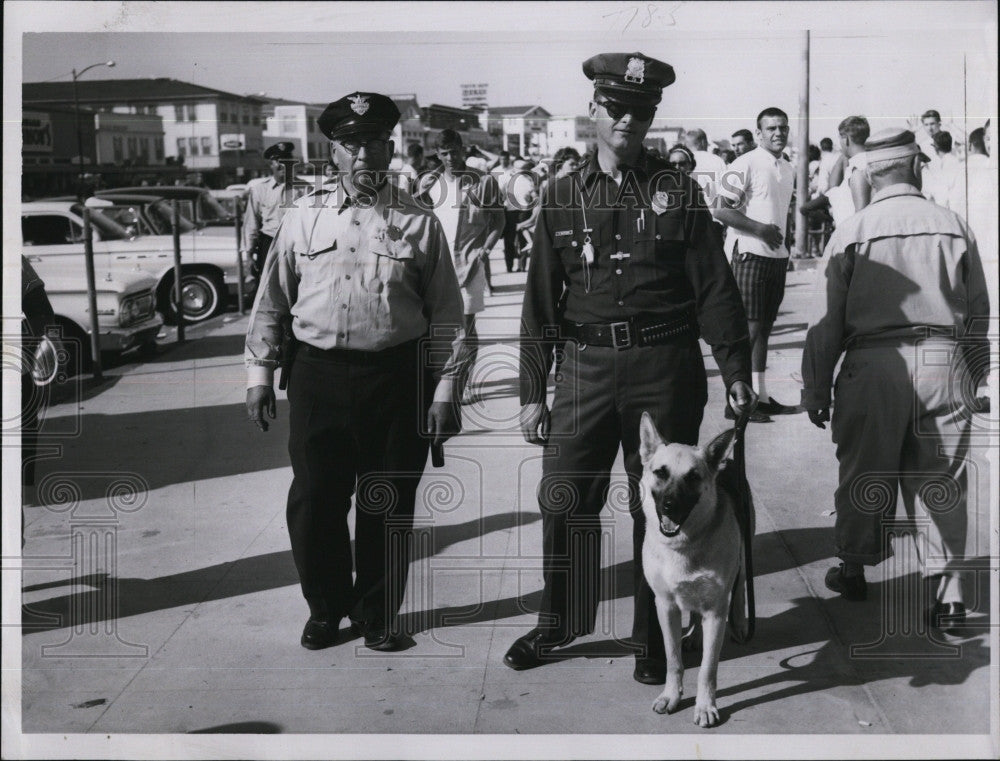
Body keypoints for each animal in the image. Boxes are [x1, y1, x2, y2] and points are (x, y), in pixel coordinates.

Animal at [640, 412, 752, 728]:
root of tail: (727, 462)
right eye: (660, 473)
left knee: (740, 587)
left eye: (693, 477)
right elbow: (673, 660)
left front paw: (705, 706)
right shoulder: (665, 606)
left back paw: (740, 623)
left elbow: (707, 668)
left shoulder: (716, 611)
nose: (669, 506)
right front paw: (671, 695)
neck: (684, 544)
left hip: (743, 552)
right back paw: (692, 634)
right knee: (693, 611)